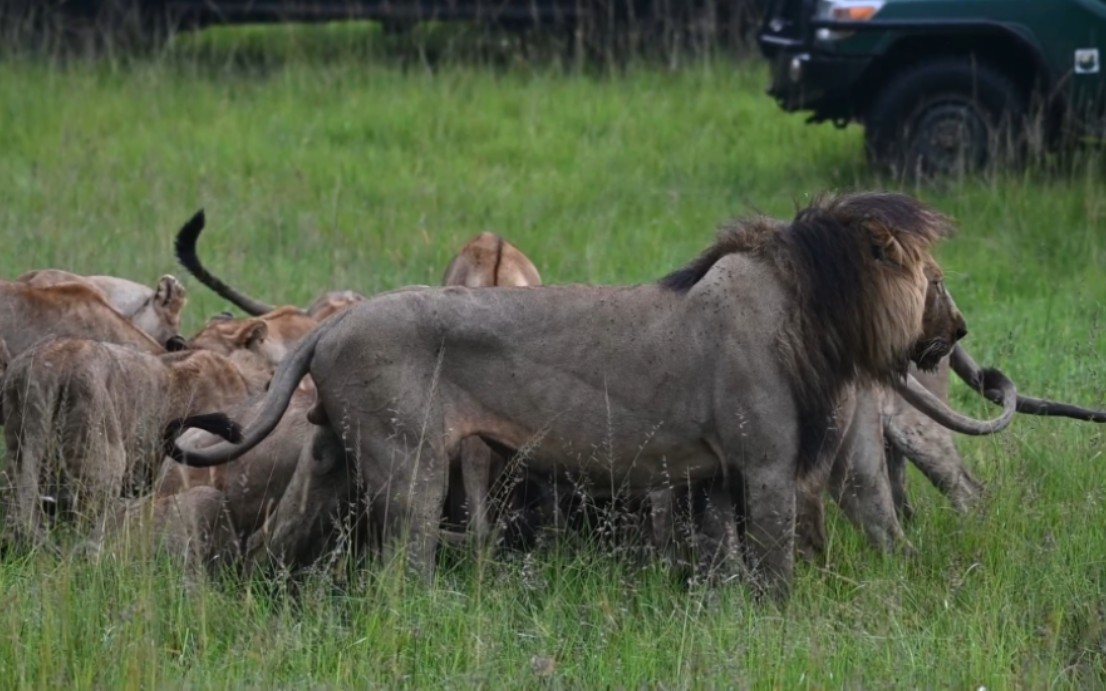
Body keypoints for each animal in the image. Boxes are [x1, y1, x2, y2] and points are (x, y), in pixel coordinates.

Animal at [165, 191, 1017, 597]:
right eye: (933, 278)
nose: (959, 325)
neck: (812, 312)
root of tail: (333, 323)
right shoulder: (768, 466)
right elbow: (775, 566)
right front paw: (782, 623)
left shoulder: (714, 476)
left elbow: (724, 563)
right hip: (409, 467)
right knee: (399, 574)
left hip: (328, 456)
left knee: (275, 545)